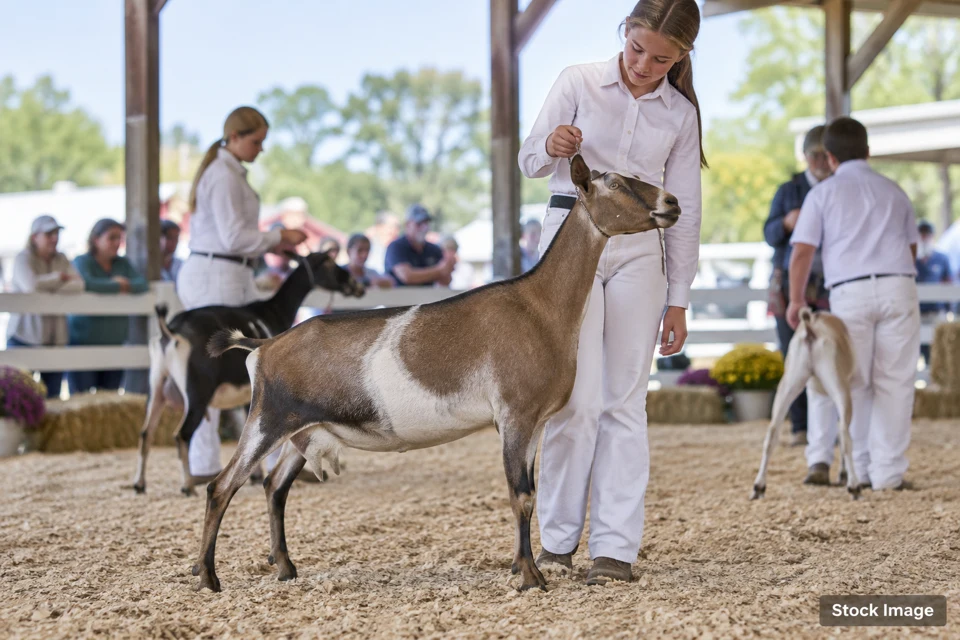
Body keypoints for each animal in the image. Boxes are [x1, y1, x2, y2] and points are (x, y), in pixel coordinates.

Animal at [129, 252, 365, 497]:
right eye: (330, 262)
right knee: (182, 434)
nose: (358, 286)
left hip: (157, 384)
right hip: (197, 392)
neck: (272, 311)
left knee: (146, 433)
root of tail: (171, 331)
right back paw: (187, 486)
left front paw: (255, 475)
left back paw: (140, 484)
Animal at [189, 155, 681, 593]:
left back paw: (286, 568)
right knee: (222, 486)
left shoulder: (534, 422)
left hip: (304, 430)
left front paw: (525, 569)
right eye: (614, 183)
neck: (538, 306)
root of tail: (262, 346)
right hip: (267, 419)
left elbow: (529, 494)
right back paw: (209, 577)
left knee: (274, 486)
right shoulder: (515, 415)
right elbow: (521, 496)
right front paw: (529, 577)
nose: (672, 201)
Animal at [750, 308, 860, 500]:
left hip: (789, 380)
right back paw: (854, 487)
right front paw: (842, 474)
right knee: (844, 433)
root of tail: (811, 326)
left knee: (772, 432)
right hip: (839, 384)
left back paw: (759, 487)